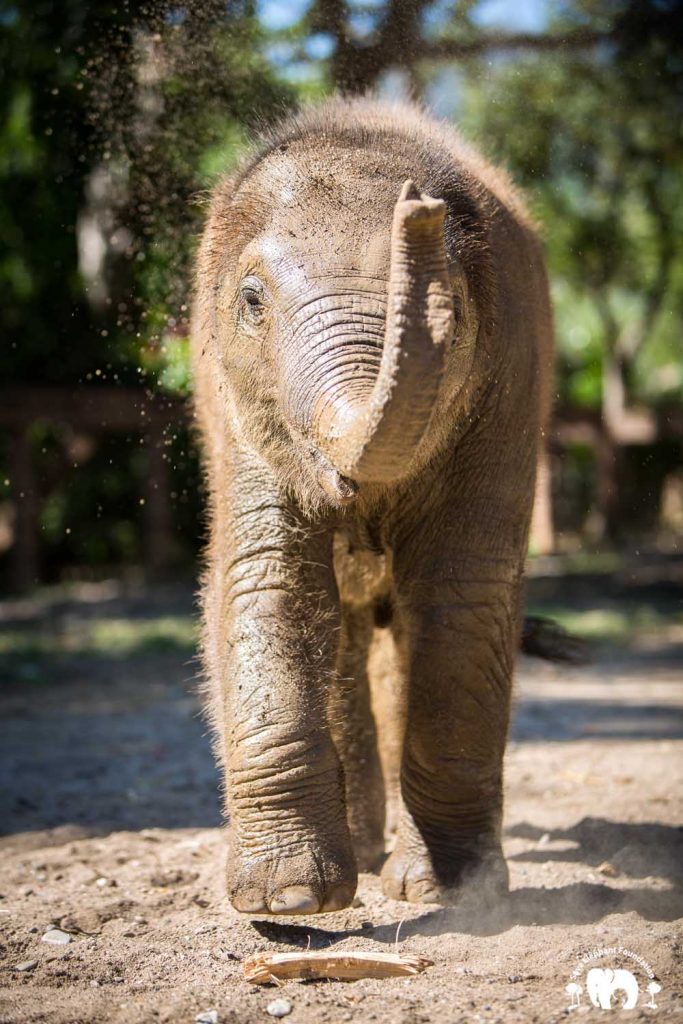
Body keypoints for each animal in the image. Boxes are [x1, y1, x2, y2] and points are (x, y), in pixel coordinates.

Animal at [191, 98, 553, 915]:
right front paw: (290, 902)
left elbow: (462, 592)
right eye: (251, 303)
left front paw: (453, 892)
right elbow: (268, 578)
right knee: (348, 629)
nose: (418, 210)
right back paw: (356, 852)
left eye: (453, 309)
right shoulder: (236, 407)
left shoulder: (511, 379)